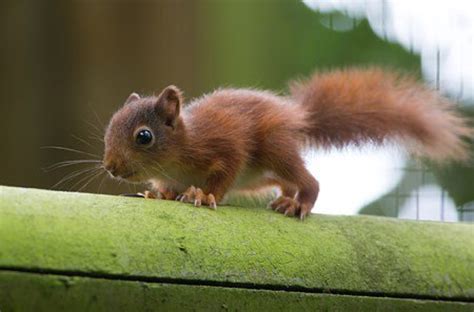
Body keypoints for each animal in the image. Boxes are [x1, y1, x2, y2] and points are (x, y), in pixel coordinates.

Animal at [102, 68, 472, 219]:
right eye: (109, 128)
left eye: (144, 136)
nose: (110, 168)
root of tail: (297, 116)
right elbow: (167, 188)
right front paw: (159, 193)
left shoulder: (224, 145)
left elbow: (223, 173)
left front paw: (204, 195)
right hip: (259, 177)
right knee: (283, 182)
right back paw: (285, 198)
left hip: (274, 148)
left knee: (308, 180)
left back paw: (299, 203)